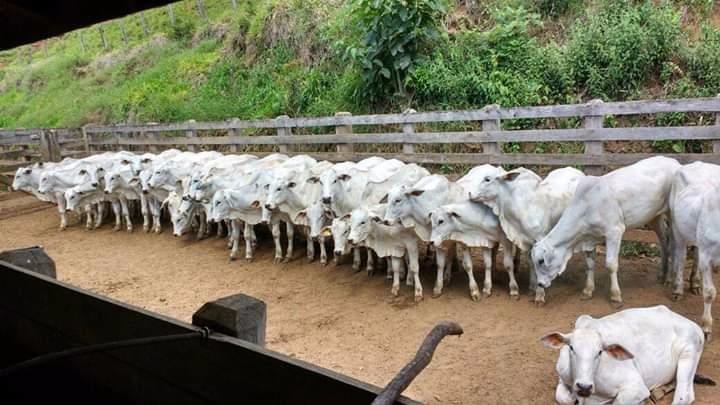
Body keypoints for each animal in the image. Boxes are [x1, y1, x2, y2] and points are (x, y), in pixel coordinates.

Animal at [470, 165, 592, 304]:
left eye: (487, 179)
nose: (470, 193)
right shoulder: (527, 241)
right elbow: (531, 262)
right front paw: (532, 286)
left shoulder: (541, 239)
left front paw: (539, 295)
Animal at [528, 156, 680, 304]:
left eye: (541, 261)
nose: (540, 284)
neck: (588, 205)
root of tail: (673, 162)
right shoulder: (590, 237)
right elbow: (590, 264)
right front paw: (588, 290)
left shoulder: (615, 231)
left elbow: (611, 264)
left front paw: (615, 295)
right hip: (654, 217)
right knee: (663, 241)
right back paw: (662, 275)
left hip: (671, 215)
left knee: (672, 243)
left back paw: (669, 279)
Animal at [544, 306, 712, 404]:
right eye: (571, 348)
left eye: (600, 352)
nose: (584, 386)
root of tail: (694, 325)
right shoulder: (562, 377)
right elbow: (564, 398)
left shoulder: (636, 387)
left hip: (689, 353)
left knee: (684, 395)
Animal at [668, 161, 720, 338]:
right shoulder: (707, 255)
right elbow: (710, 293)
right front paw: (706, 327)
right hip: (677, 228)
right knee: (681, 255)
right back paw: (678, 289)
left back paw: (695, 283)